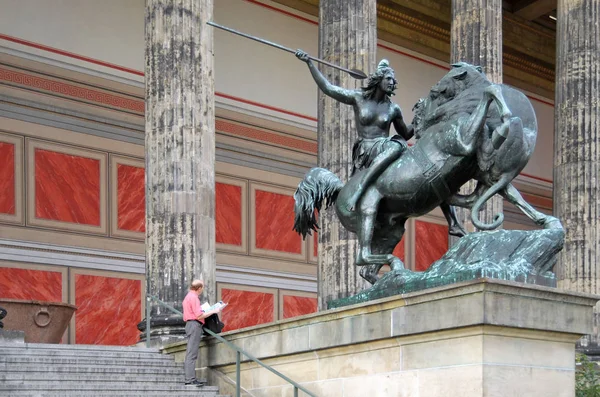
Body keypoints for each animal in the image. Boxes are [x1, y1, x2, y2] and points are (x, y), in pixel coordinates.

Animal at [292, 62, 560, 284]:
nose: (428, 95)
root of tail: (340, 191)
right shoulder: (463, 141)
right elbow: (488, 96)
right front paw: (504, 119)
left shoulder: (485, 169)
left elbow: (513, 195)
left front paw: (547, 221)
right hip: (367, 211)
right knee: (362, 255)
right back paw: (400, 270)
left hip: (391, 230)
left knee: (366, 269)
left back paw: (398, 278)